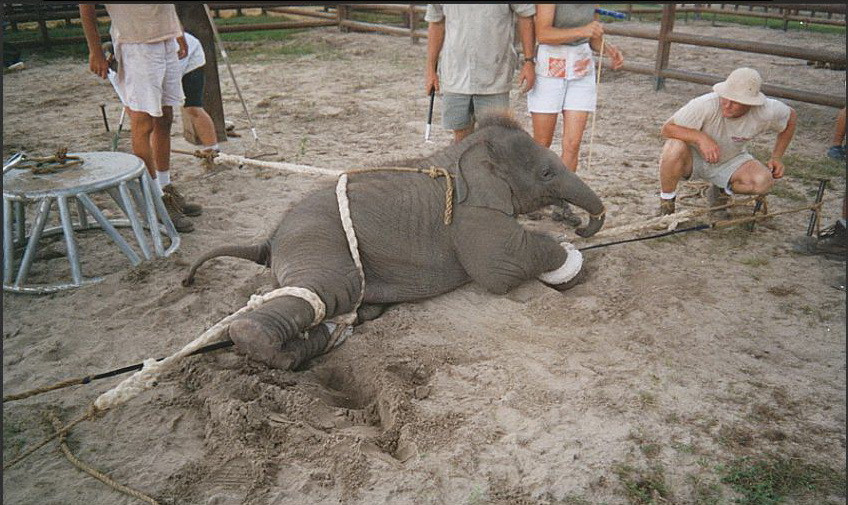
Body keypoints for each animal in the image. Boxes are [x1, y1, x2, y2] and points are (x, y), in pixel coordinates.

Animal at [184, 114, 605, 370]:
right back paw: (287, 351)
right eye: (547, 173)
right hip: (318, 243)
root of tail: (269, 238)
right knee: (320, 291)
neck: (461, 151)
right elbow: (499, 269)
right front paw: (569, 260)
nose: (584, 227)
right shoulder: (470, 213)